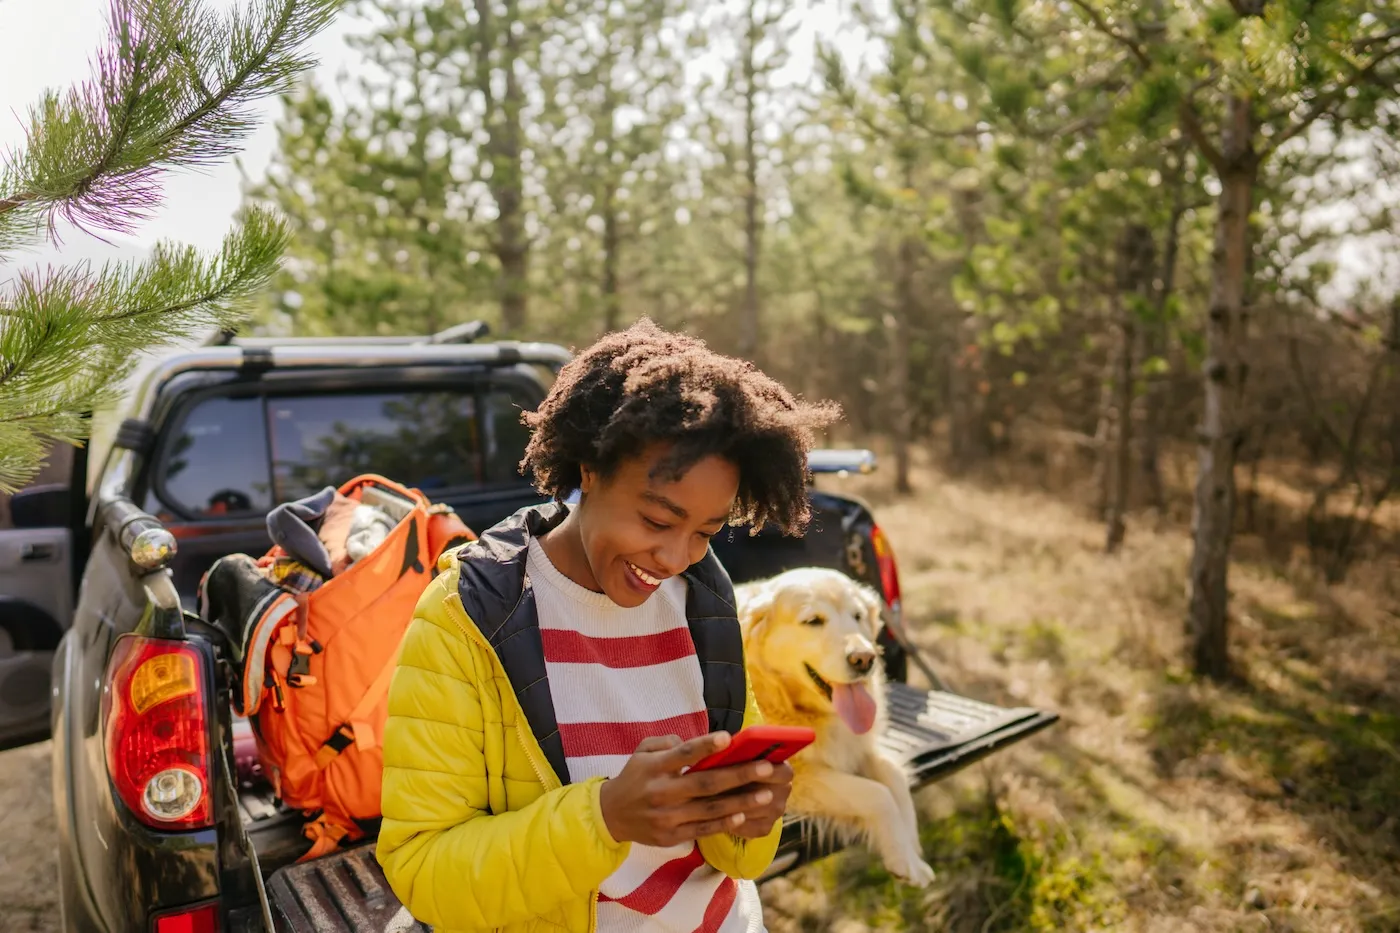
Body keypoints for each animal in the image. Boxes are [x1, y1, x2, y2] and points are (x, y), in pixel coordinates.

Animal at [739, 563, 935, 885]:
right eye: (813, 621)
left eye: (857, 616)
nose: (864, 659)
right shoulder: (799, 776)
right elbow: (878, 794)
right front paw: (903, 859)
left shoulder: (856, 746)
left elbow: (895, 777)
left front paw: (913, 849)